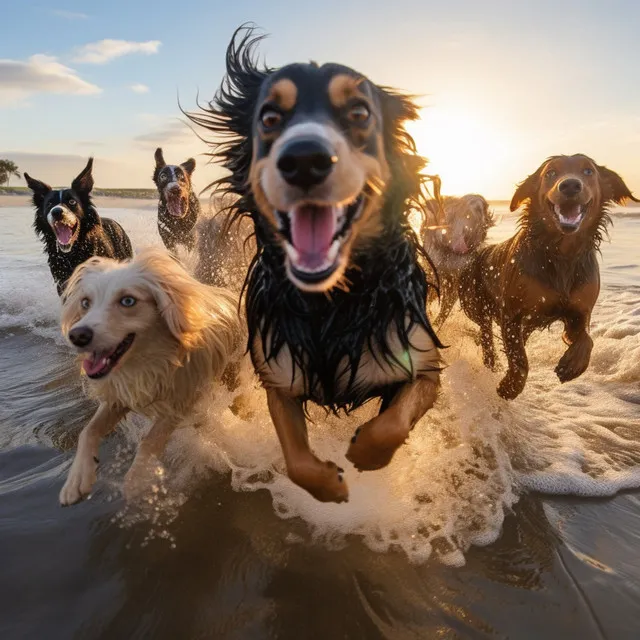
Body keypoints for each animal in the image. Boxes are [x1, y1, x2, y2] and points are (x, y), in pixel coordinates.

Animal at [57, 248, 241, 508]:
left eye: (128, 301)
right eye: (85, 303)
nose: (77, 336)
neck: (147, 360)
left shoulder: (180, 399)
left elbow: (150, 440)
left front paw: (137, 479)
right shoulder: (119, 395)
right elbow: (88, 431)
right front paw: (77, 478)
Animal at [188, 27, 442, 502]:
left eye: (359, 112)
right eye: (269, 118)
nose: (304, 159)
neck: (331, 301)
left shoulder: (421, 362)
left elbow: (394, 423)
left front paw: (366, 453)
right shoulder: (279, 374)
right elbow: (295, 461)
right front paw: (330, 487)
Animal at [458, 152, 636, 398]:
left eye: (588, 171)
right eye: (550, 172)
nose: (570, 185)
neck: (561, 254)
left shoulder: (579, 312)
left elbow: (586, 338)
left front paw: (573, 365)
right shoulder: (512, 313)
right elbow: (519, 359)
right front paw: (509, 386)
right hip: (476, 304)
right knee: (485, 333)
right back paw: (490, 361)